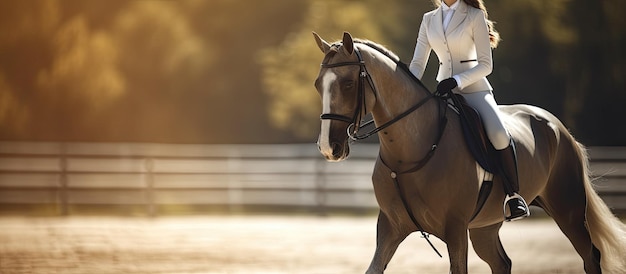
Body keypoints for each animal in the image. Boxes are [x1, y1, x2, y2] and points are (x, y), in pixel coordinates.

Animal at [310, 31, 624, 272]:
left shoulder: (455, 229)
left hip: (568, 210)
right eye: (318, 85)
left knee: (590, 256)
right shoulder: (389, 227)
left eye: (348, 83)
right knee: (502, 263)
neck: (411, 151)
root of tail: (558, 127)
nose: (328, 148)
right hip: (486, 226)